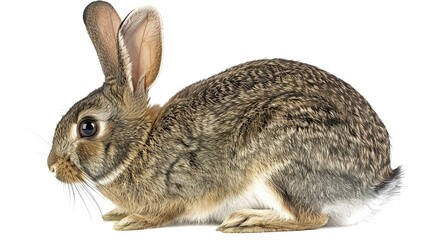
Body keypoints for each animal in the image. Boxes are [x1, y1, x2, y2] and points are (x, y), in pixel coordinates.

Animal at [47, 0, 402, 232]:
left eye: (87, 127)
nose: (51, 166)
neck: (139, 146)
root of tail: (373, 184)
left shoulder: (180, 187)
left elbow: (168, 211)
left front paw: (133, 219)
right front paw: (115, 214)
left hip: (280, 158)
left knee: (312, 218)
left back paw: (248, 219)